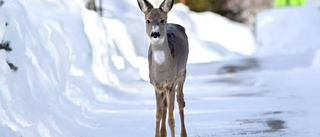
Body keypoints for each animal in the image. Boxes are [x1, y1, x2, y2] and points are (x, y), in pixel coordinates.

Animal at [136, 0, 189, 137]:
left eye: (162, 20)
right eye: (148, 20)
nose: (155, 33)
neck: (161, 71)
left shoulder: (171, 82)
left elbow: (171, 118)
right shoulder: (156, 85)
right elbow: (158, 115)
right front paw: (158, 134)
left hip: (182, 74)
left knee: (180, 102)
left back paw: (183, 134)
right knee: (166, 106)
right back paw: (163, 133)